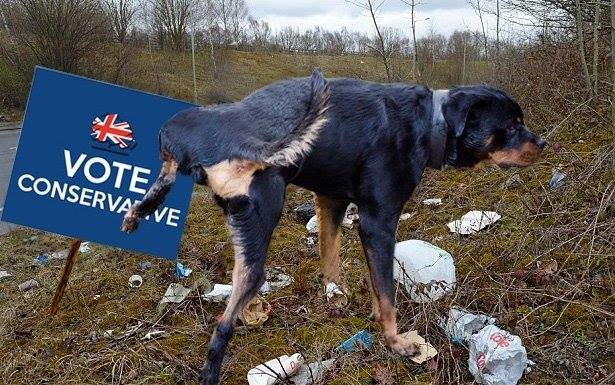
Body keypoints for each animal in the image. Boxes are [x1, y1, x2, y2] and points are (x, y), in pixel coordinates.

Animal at [120, 67, 544, 382]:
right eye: (511, 125)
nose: (542, 143)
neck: (431, 124)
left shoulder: (332, 202)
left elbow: (332, 256)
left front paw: (337, 299)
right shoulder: (378, 221)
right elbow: (386, 294)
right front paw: (397, 342)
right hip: (261, 223)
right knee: (222, 326)